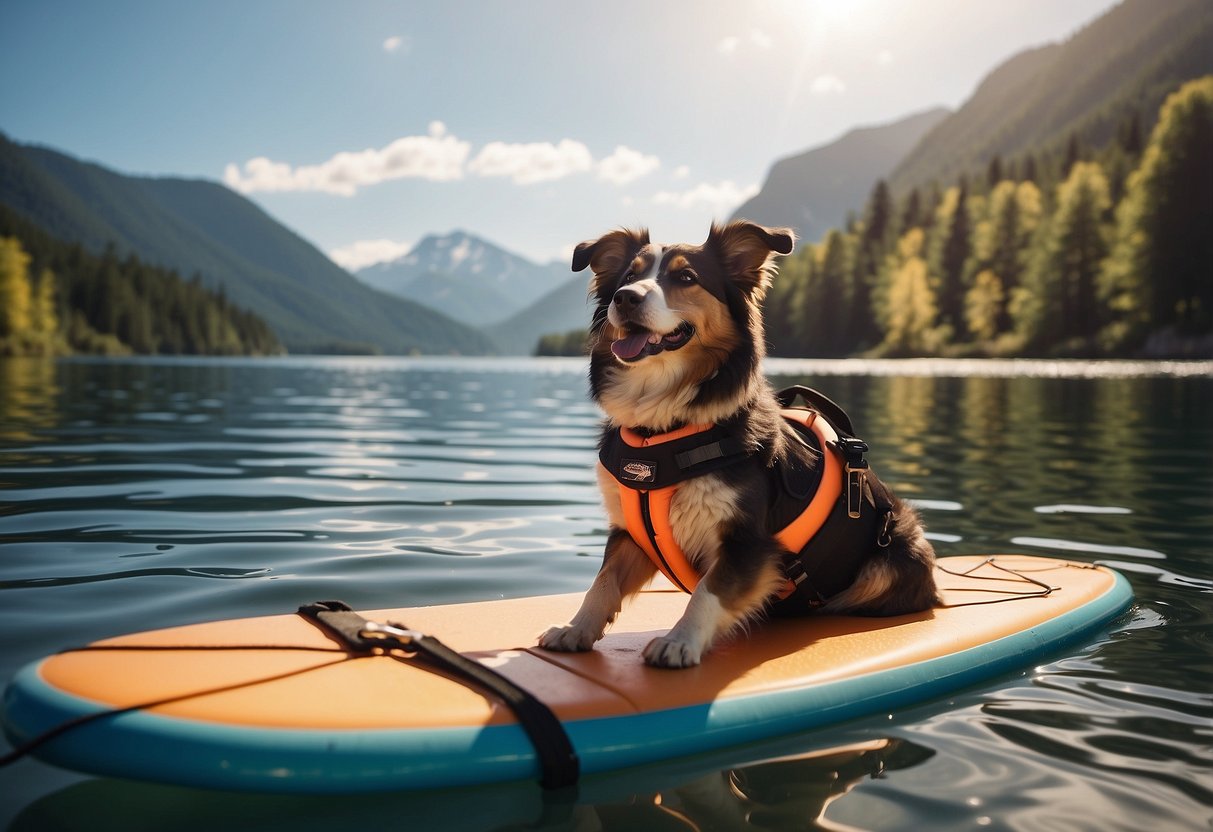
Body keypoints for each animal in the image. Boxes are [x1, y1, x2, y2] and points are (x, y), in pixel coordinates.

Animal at [540, 221, 936, 669]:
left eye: (686, 278)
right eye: (628, 276)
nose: (626, 297)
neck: (663, 429)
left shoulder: (749, 543)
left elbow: (708, 592)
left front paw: (680, 641)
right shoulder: (629, 532)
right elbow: (603, 582)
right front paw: (575, 628)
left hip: (890, 559)